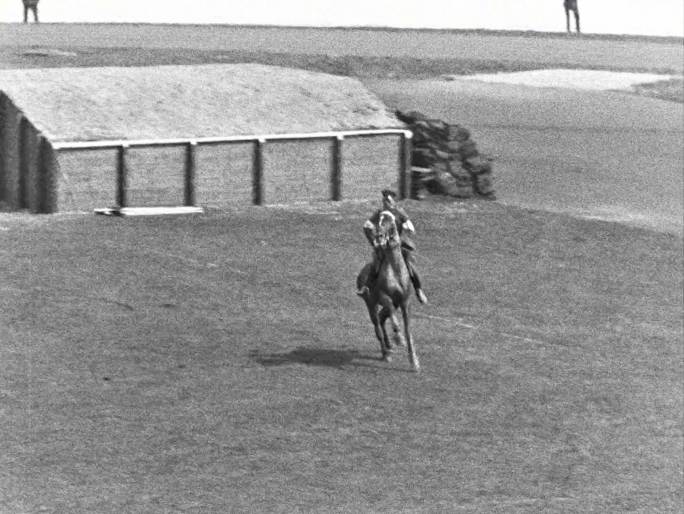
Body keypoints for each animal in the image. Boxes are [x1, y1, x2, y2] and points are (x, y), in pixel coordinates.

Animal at [358, 208, 416, 368]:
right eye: (379, 220)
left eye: (392, 221)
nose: (379, 236)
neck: (396, 271)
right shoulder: (385, 298)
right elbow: (394, 318)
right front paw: (399, 338)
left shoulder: (404, 302)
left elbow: (408, 329)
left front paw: (414, 361)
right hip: (370, 304)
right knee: (377, 324)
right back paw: (386, 353)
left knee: (382, 318)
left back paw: (389, 347)